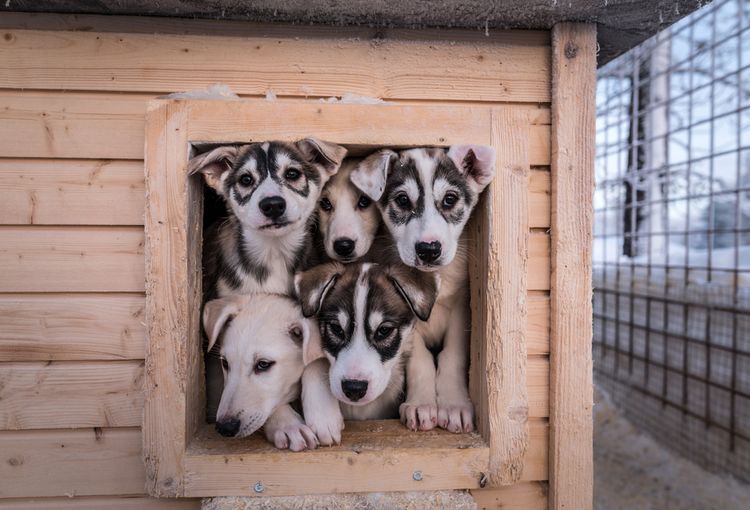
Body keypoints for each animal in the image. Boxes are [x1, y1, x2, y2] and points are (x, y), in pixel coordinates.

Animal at [354, 145, 500, 432]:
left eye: (450, 199)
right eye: (402, 200)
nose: (429, 249)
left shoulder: (461, 309)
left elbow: (452, 355)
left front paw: (453, 404)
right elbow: (419, 360)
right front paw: (421, 403)